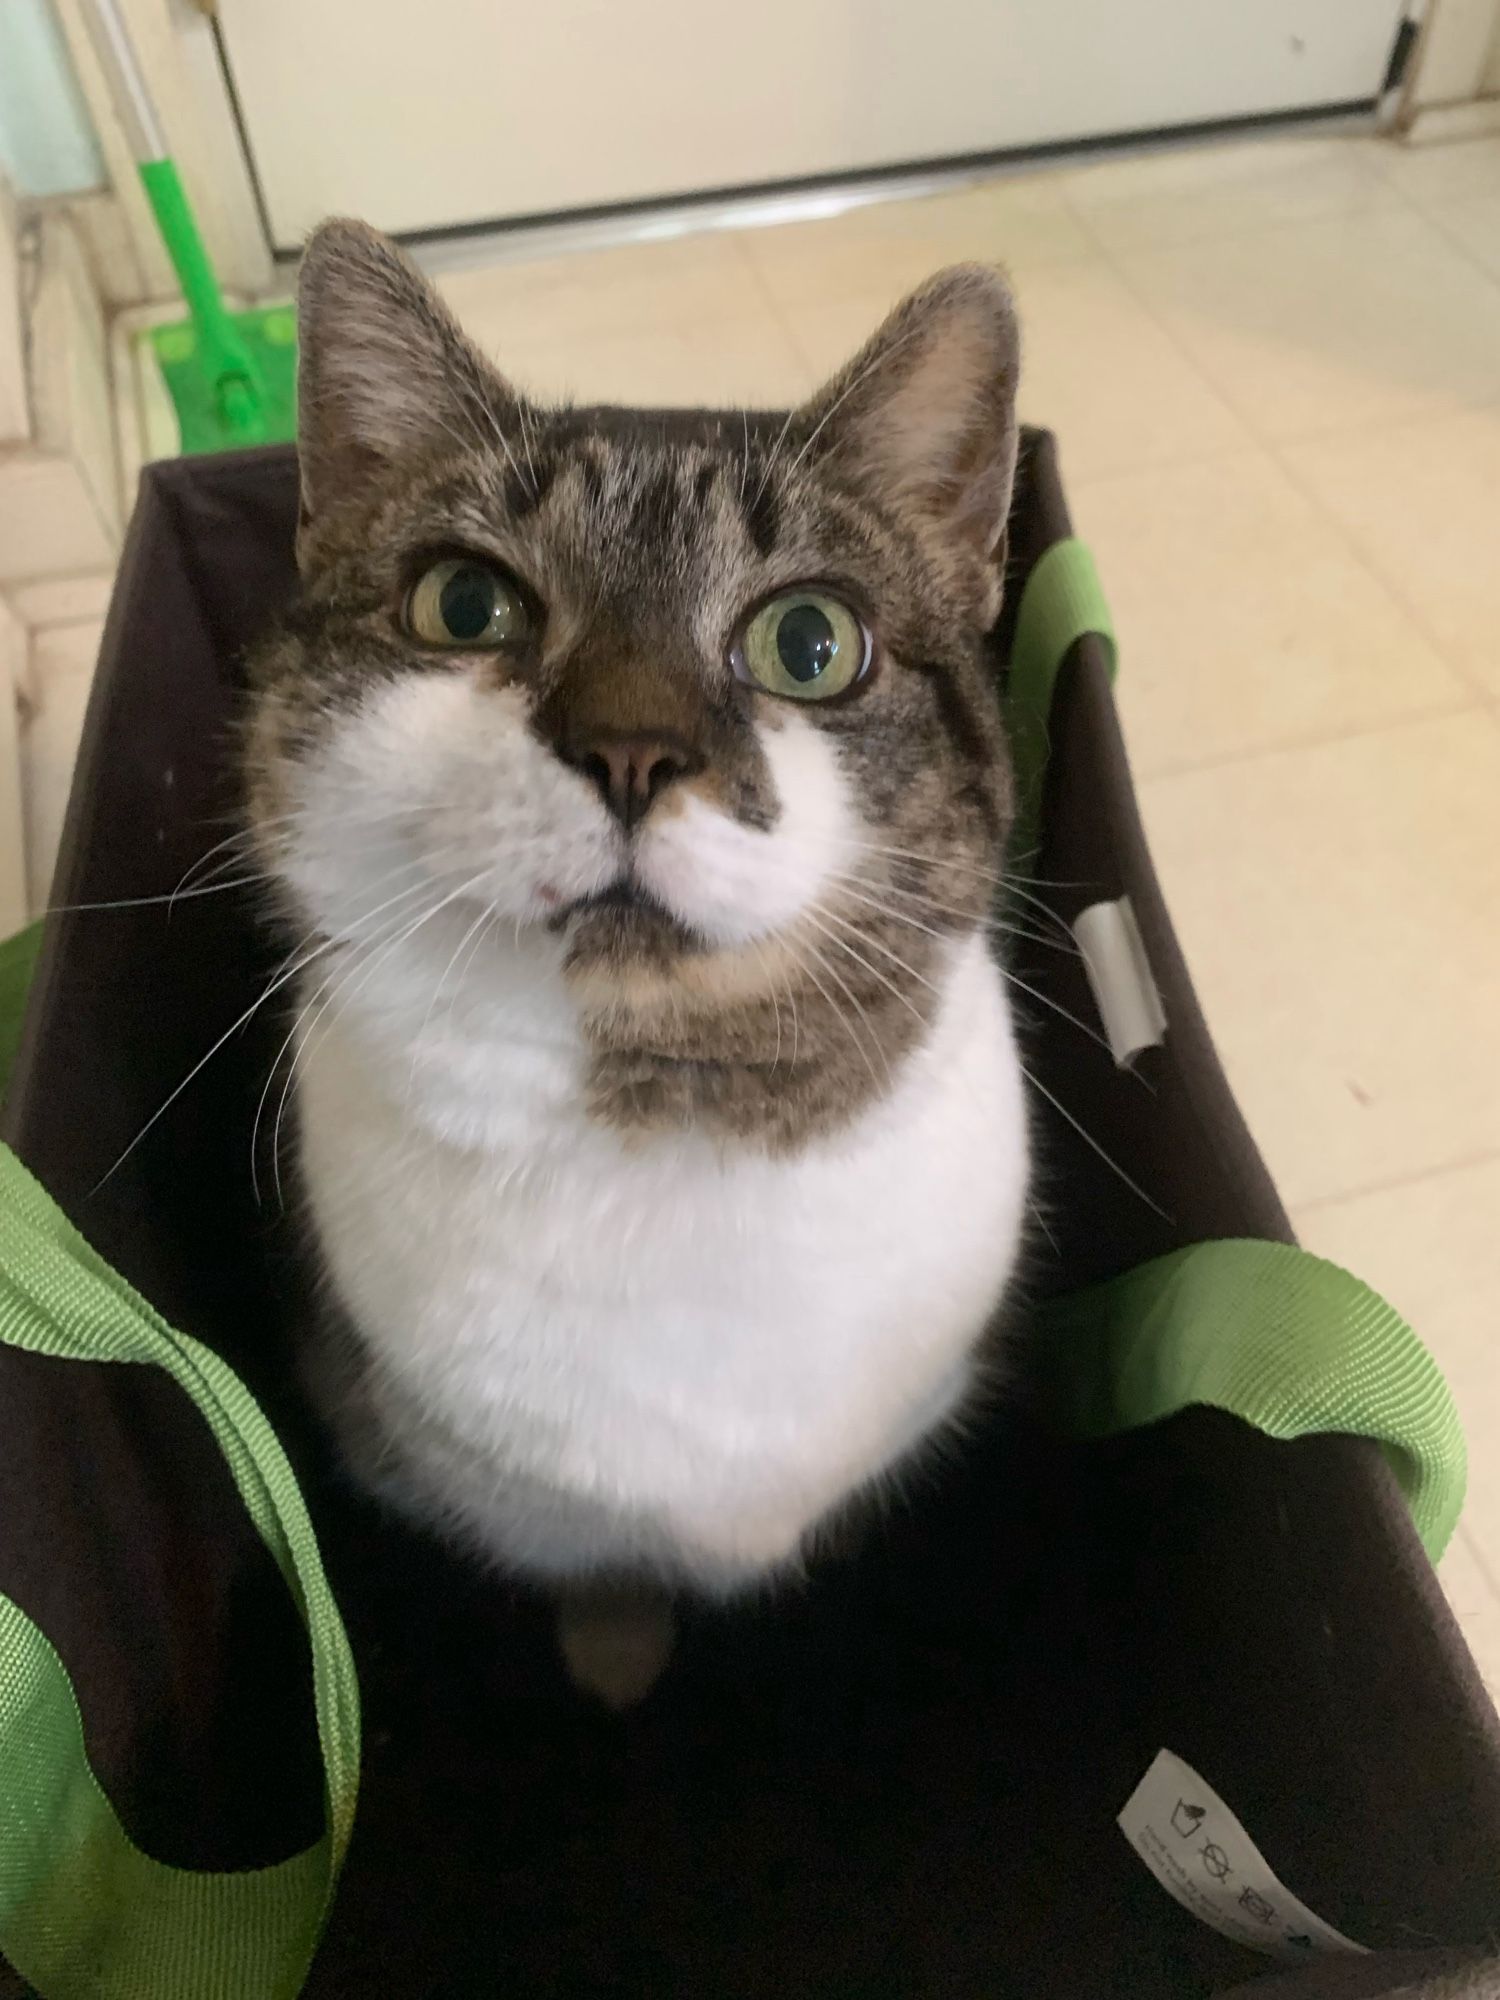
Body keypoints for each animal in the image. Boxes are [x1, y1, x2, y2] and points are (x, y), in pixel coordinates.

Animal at [250, 219, 1032, 1712]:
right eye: (464, 604)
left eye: (810, 641)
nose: (629, 749)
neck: (661, 1122)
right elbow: (600, 1570)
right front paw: (616, 1650)